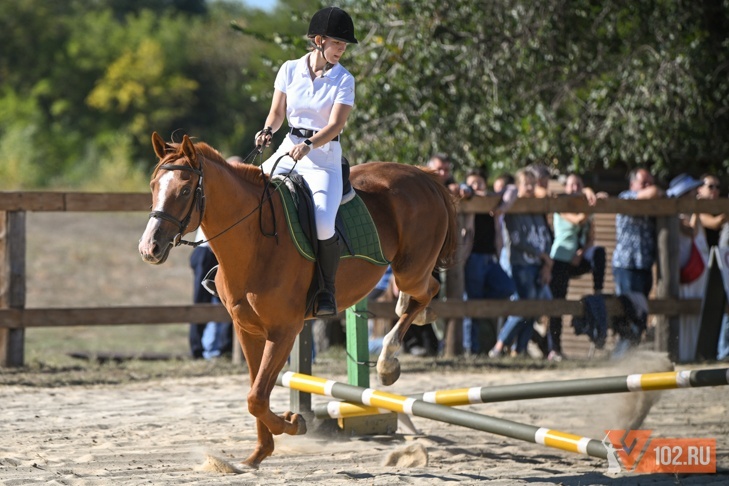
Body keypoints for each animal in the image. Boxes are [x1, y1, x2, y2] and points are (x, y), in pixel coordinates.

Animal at [137, 133, 456, 468]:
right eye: (154, 185)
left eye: (185, 189)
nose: (149, 248)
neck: (254, 244)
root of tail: (423, 175)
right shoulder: (247, 330)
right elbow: (255, 390)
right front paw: (258, 454)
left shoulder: (284, 332)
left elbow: (257, 397)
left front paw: (294, 423)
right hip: (410, 271)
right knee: (419, 296)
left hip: (410, 270)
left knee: (427, 290)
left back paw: (387, 362)